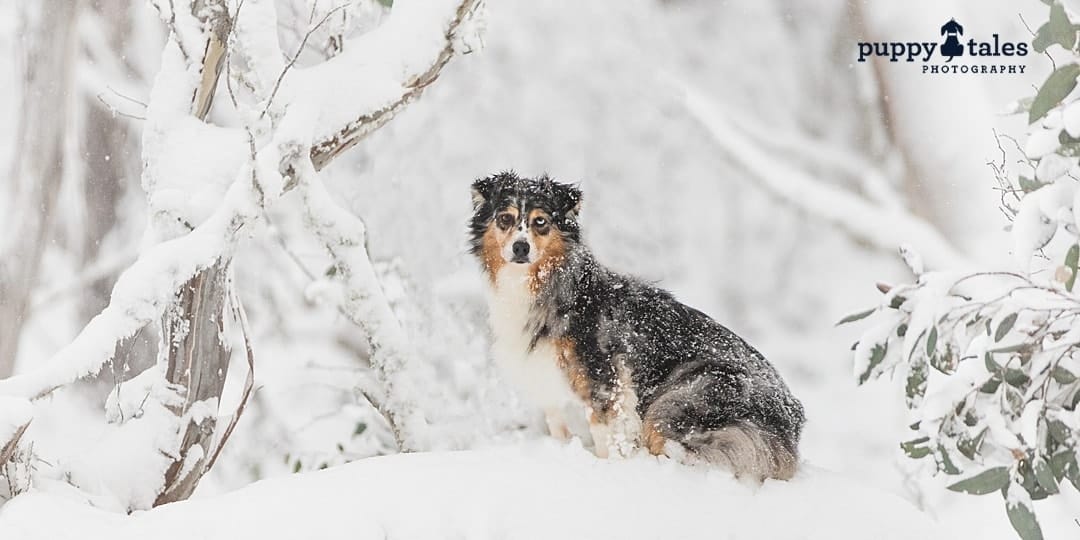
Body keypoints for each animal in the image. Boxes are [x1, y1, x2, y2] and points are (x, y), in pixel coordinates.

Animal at [468, 170, 807, 479]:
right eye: (505, 219)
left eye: (541, 222)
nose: (521, 247)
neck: (547, 284)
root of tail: (792, 418)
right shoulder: (544, 379)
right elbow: (557, 425)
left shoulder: (606, 381)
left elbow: (606, 436)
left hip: (681, 398)